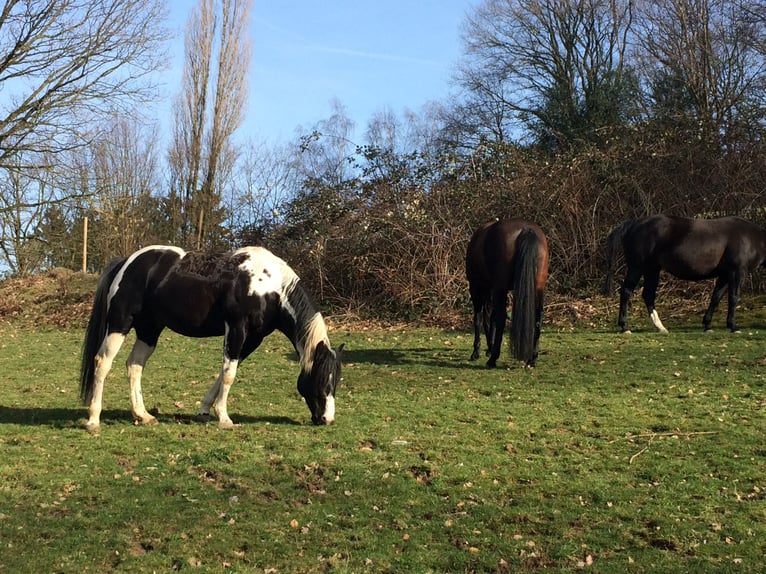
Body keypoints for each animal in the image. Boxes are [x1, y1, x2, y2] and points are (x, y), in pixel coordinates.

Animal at [80, 245, 343, 430]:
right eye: (322, 379)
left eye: (336, 382)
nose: (327, 419)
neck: (268, 286)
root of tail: (126, 262)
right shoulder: (236, 328)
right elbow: (229, 374)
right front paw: (224, 418)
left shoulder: (252, 339)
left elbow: (225, 372)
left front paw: (206, 410)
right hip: (120, 324)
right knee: (102, 362)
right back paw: (93, 420)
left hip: (149, 330)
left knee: (134, 365)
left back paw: (143, 416)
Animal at [466, 219, 550, 367]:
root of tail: (526, 230)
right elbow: (490, 318)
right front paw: (489, 348)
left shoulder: (476, 287)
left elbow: (479, 319)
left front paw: (477, 352)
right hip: (538, 289)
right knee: (538, 318)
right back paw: (532, 359)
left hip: (499, 289)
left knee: (500, 319)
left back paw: (493, 359)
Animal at [604, 214, 766, 333]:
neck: (751, 238)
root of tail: (633, 224)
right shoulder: (737, 272)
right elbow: (733, 297)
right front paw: (733, 326)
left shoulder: (725, 275)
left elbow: (716, 297)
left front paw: (707, 325)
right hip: (637, 268)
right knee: (626, 292)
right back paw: (625, 327)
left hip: (652, 269)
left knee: (648, 295)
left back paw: (661, 327)